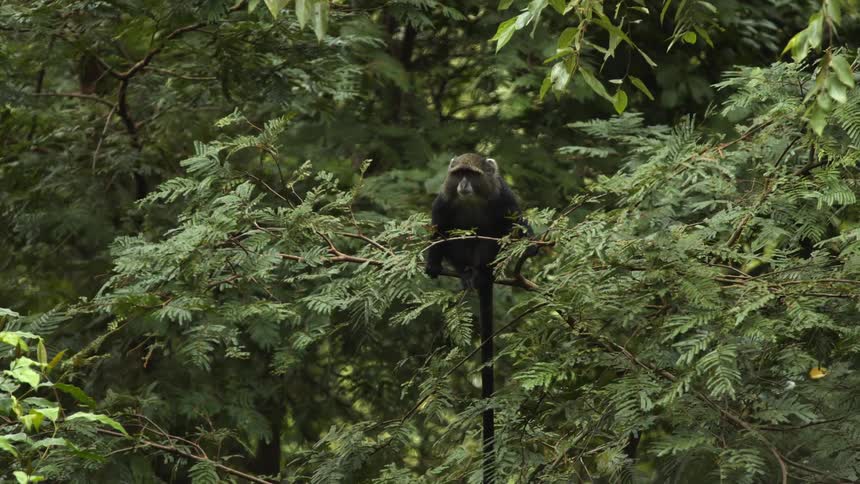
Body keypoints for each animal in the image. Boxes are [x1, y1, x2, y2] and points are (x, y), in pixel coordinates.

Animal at [425, 153, 534, 484]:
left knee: (489, 239)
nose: (463, 184)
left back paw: (480, 273)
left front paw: (530, 243)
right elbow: (439, 230)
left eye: (472, 175)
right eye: (459, 173)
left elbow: (513, 223)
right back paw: (465, 274)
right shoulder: (444, 201)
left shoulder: (503, 198)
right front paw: (432, 263)